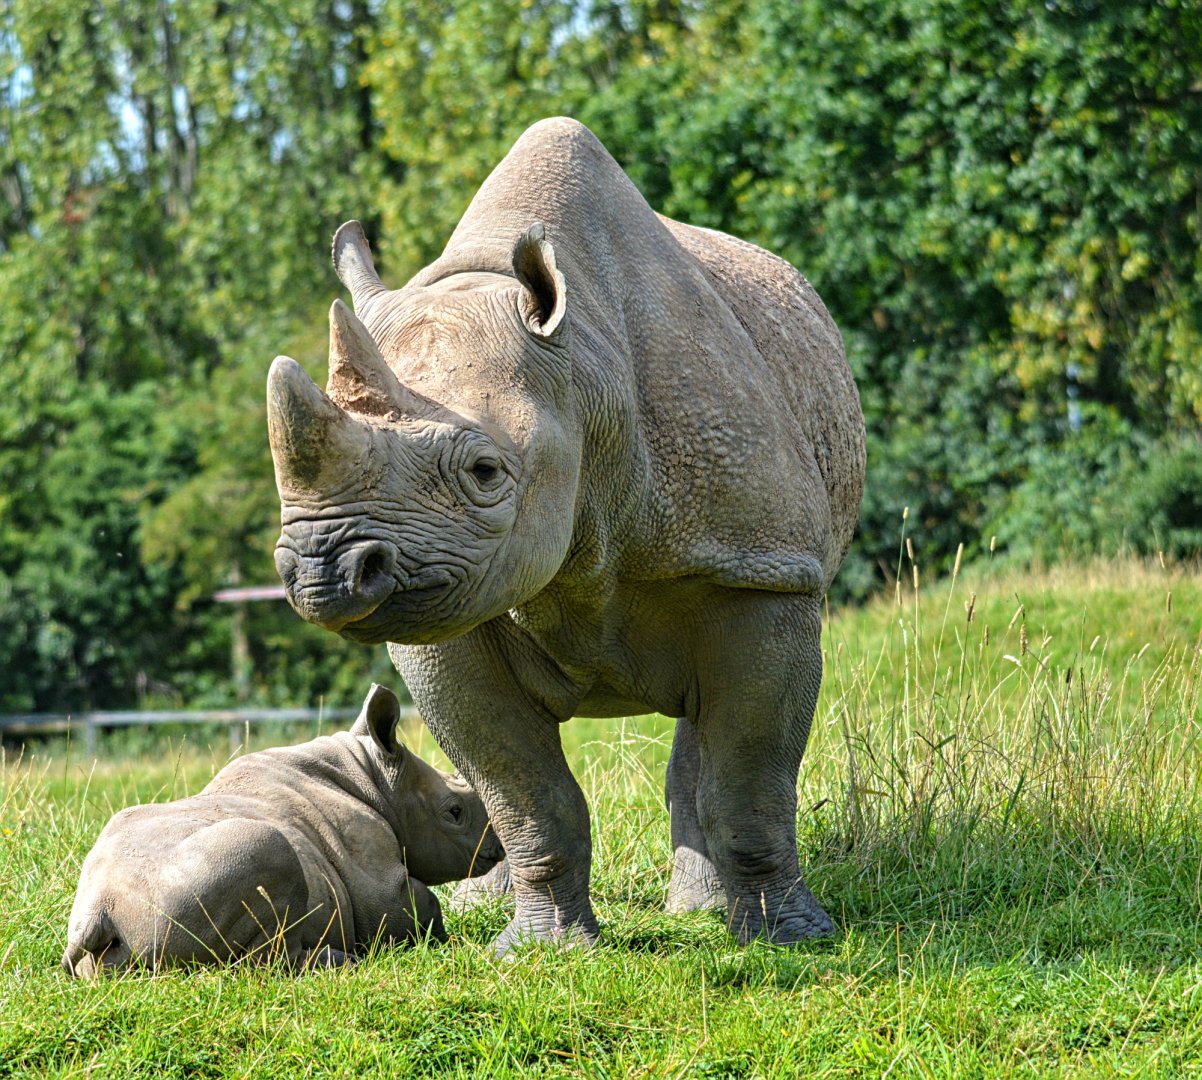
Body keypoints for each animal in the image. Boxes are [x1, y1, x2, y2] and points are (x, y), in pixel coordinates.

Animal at [61, 685, 501, 976]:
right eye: (454, 812)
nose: (497, 847)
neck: (373, 778)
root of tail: (100, 911)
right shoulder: (373, 870)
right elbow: (412, 905)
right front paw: (448, 940)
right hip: (193, 879)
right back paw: (339, 962)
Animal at [267, 118, 865, 953]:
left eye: (486, 472)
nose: (323, 570)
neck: (581, 374)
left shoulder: (760, 568)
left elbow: (749, 778)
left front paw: (791, 938)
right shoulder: (444, 621)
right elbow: (524, 790)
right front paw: (541, 950)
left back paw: (703, 914)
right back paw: (488, 904)